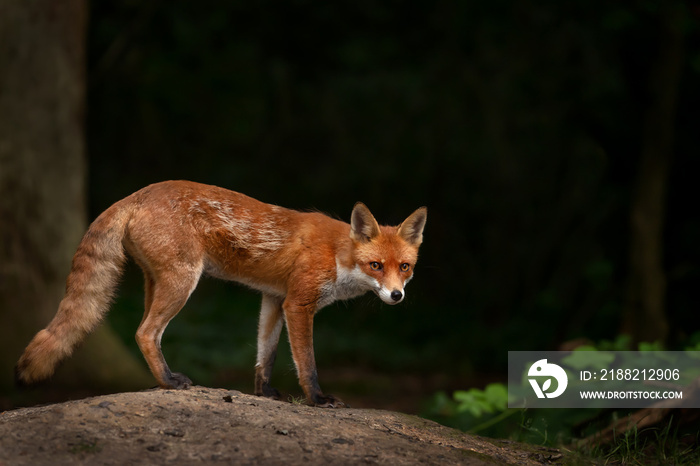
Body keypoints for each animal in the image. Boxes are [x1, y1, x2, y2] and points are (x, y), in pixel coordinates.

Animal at [16, 180, 426, 406]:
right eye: (376, 266)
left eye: (404, 267)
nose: (396, 296)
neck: (339, 254)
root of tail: (136, 194)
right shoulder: (299, 303)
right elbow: (306, 363)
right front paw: (318, 399)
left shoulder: (274, 299)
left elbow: (265, 356)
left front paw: (264, 393)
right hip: (182, 282)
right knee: (145, 332)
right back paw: (170, 382)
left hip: (156, 282)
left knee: (146, 332)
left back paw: (161, 381)